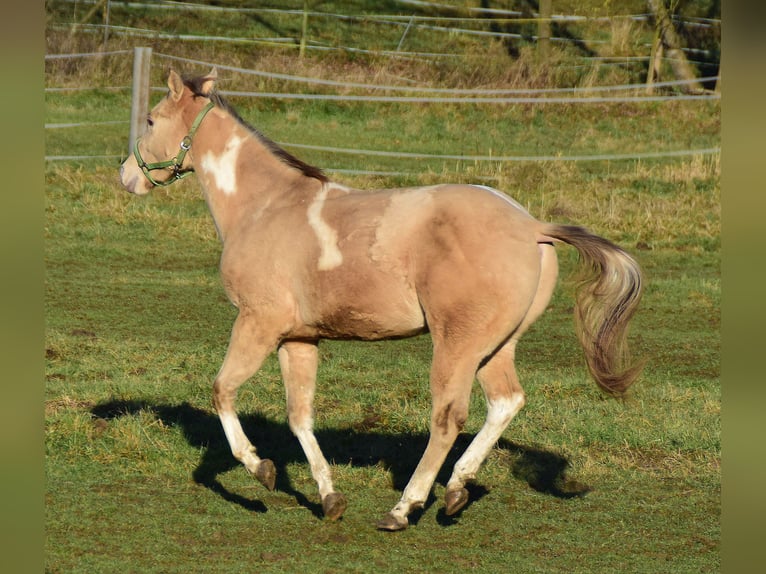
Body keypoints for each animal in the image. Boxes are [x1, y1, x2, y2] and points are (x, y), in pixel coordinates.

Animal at [120, 70, 644, 532]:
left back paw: (404, 508)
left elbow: (223, 391)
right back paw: (456, 490)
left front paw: (260, 470)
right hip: (497, 346)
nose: (126, 175)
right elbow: (300, 417)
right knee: (505, 402)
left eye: (150, 120)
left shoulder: (258, 323)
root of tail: (532, 226)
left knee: (448, 417)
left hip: (456, 344)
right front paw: (330, 498)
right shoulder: (299, 339)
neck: (265, 207)